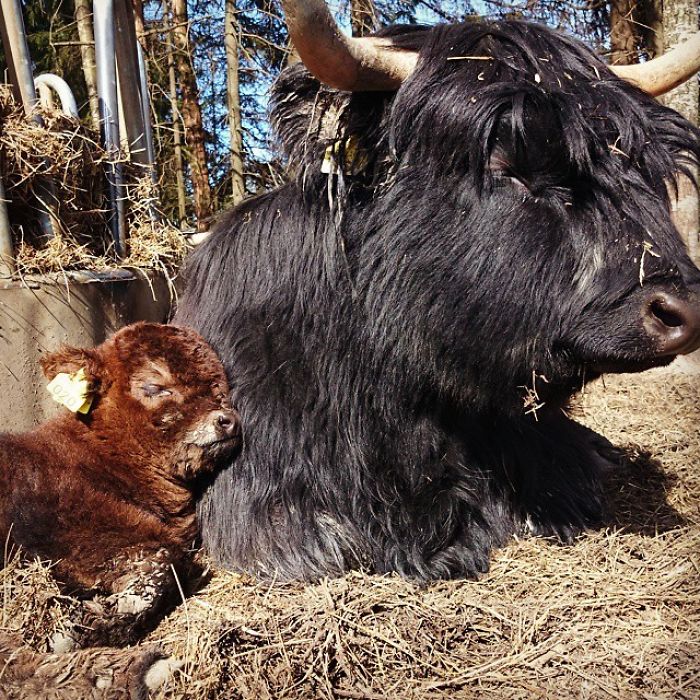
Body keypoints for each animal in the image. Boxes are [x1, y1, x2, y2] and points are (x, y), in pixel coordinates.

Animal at [0, 322, 241, 648]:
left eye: (218, 387)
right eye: (154, 386)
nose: (226, 420)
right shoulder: (69, 521)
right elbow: (163, 562)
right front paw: (82, 628)